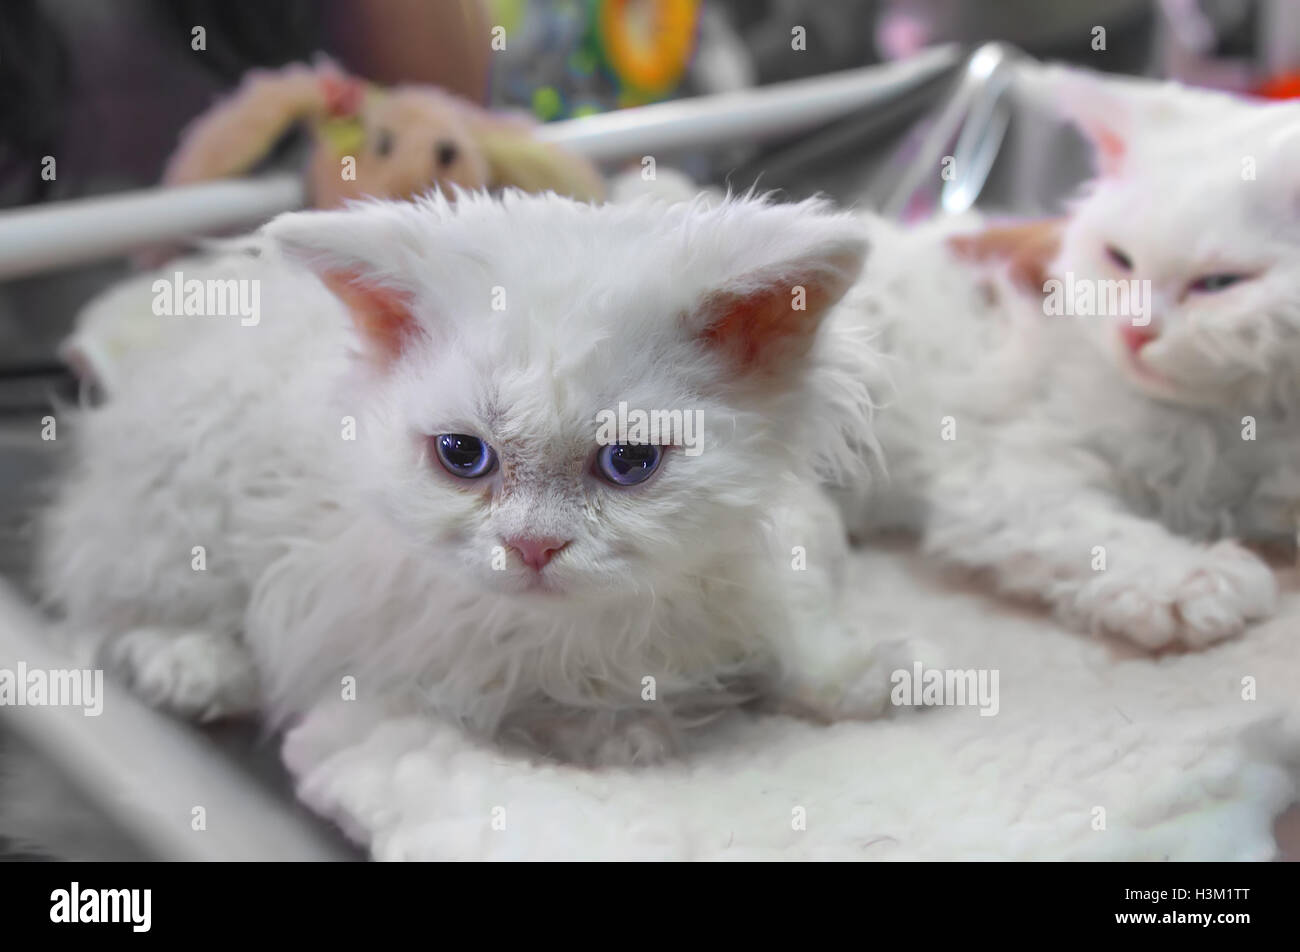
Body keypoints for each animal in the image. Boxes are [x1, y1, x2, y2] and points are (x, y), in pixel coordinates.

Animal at [35, 189, 899, 764]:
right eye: (462, 456)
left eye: (628, 463)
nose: (532, 548)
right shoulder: (398, 651)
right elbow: (556, 708)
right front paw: (634, 729)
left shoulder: (765, 557)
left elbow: (794, 626)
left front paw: (863, 675)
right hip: (178, 512)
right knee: (110, 601)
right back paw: (193, 666)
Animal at [852, 78, 1300, 650]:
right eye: (1119, 259)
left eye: (1219, 283)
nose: (1133, 331)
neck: (1236, 417)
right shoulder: (1005, 473)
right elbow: (1103, 536)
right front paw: (1192, 579)